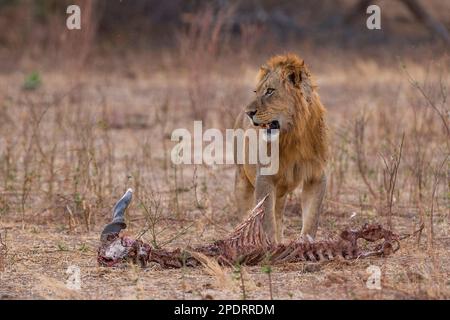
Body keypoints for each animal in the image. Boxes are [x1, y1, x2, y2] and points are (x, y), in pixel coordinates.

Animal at [236, 53, 326, 242]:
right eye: (256, 92)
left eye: (270, 91)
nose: (249, 113)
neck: (294, 135)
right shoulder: (264, 178)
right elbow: (266, 220)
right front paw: (269, 245)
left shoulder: (316, 176)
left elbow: (312, 216)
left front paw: (305, 243)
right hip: (242, 179)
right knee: (246, 213)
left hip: (282, 191)